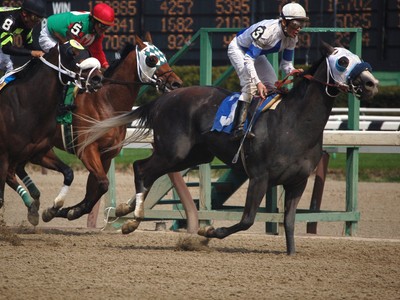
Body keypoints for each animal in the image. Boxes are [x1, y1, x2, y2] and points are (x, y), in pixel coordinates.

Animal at [0, 39, 103, 224]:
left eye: (88, 52)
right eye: (72, 53)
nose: (97, 78)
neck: (27, 106)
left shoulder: (38, 152)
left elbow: (69, 173)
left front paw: (54, 207)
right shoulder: (4, 155)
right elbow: (0, 196)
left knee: (12, 174)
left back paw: (33, 206)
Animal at [14, 33, 183, 223]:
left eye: (164, 56)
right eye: (152, 59)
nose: (176, 83)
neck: (107, 102)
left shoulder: (106, 155)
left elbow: (94, 190)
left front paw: (68, 211)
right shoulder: (87, 150)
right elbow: (102, 184)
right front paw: (62, 210)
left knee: (20, 165)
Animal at [80, 41, 378, 253]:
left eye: (355, 57)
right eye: (342, 60)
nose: (371, 83)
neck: (293, 124)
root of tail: (165, 97)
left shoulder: (297, 182)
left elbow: (290, 223)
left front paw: (291, 253)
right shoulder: (259, 176)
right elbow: (247, 220)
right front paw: (207, 233)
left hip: (192, 155)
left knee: (147, 171)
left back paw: (124, 210)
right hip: (173, 151)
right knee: (141, 168)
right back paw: (132, 219)